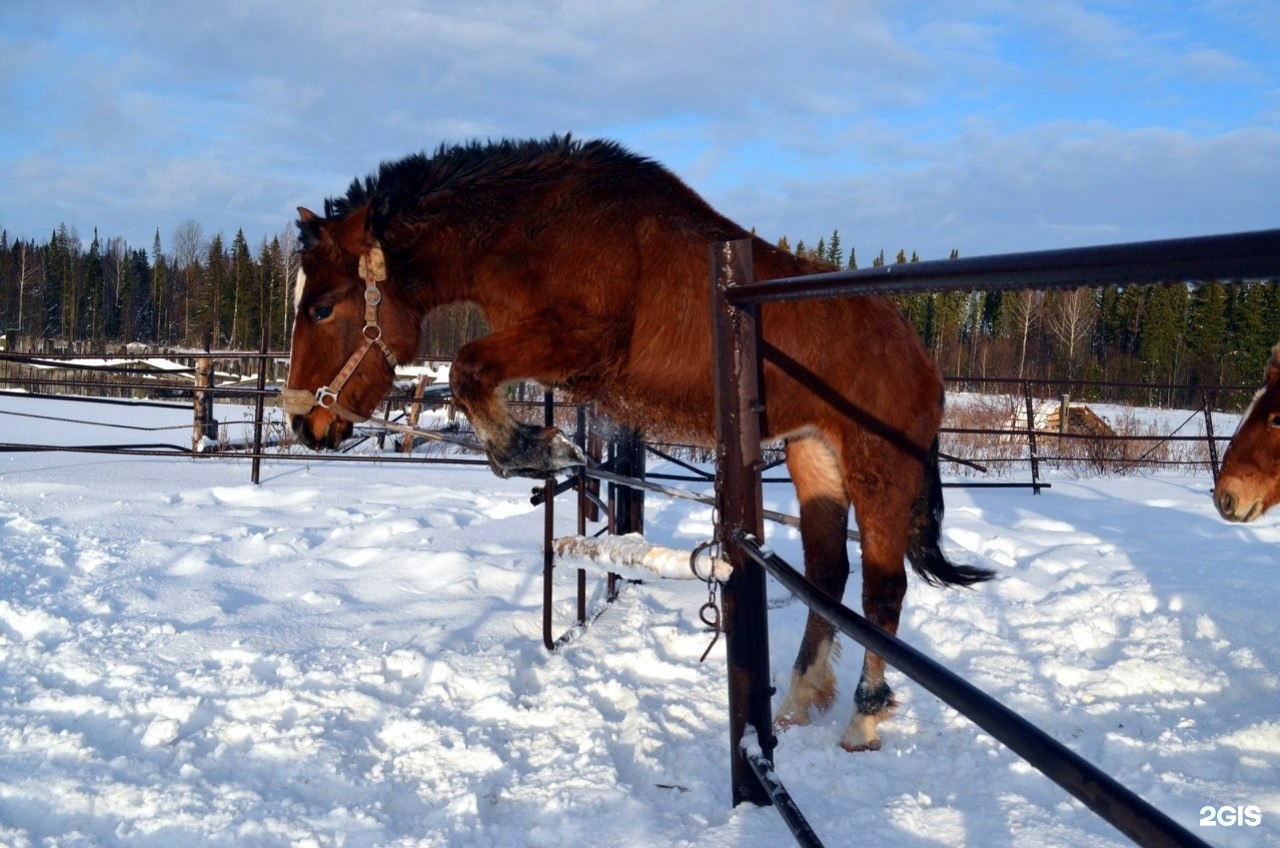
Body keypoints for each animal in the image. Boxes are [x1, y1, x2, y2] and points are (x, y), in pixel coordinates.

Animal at [285, 134, 993, 753]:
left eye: (321, 308)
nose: (304, 425)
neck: (540, 231)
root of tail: (920, 356)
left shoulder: (582, 340)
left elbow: (465, 368)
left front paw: (541, 449)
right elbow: (473, 376)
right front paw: (537, 448)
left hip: (879, 469)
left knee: (883, 592)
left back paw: (861, 723)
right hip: (813, 456)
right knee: (827, 576)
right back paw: (796, 704)